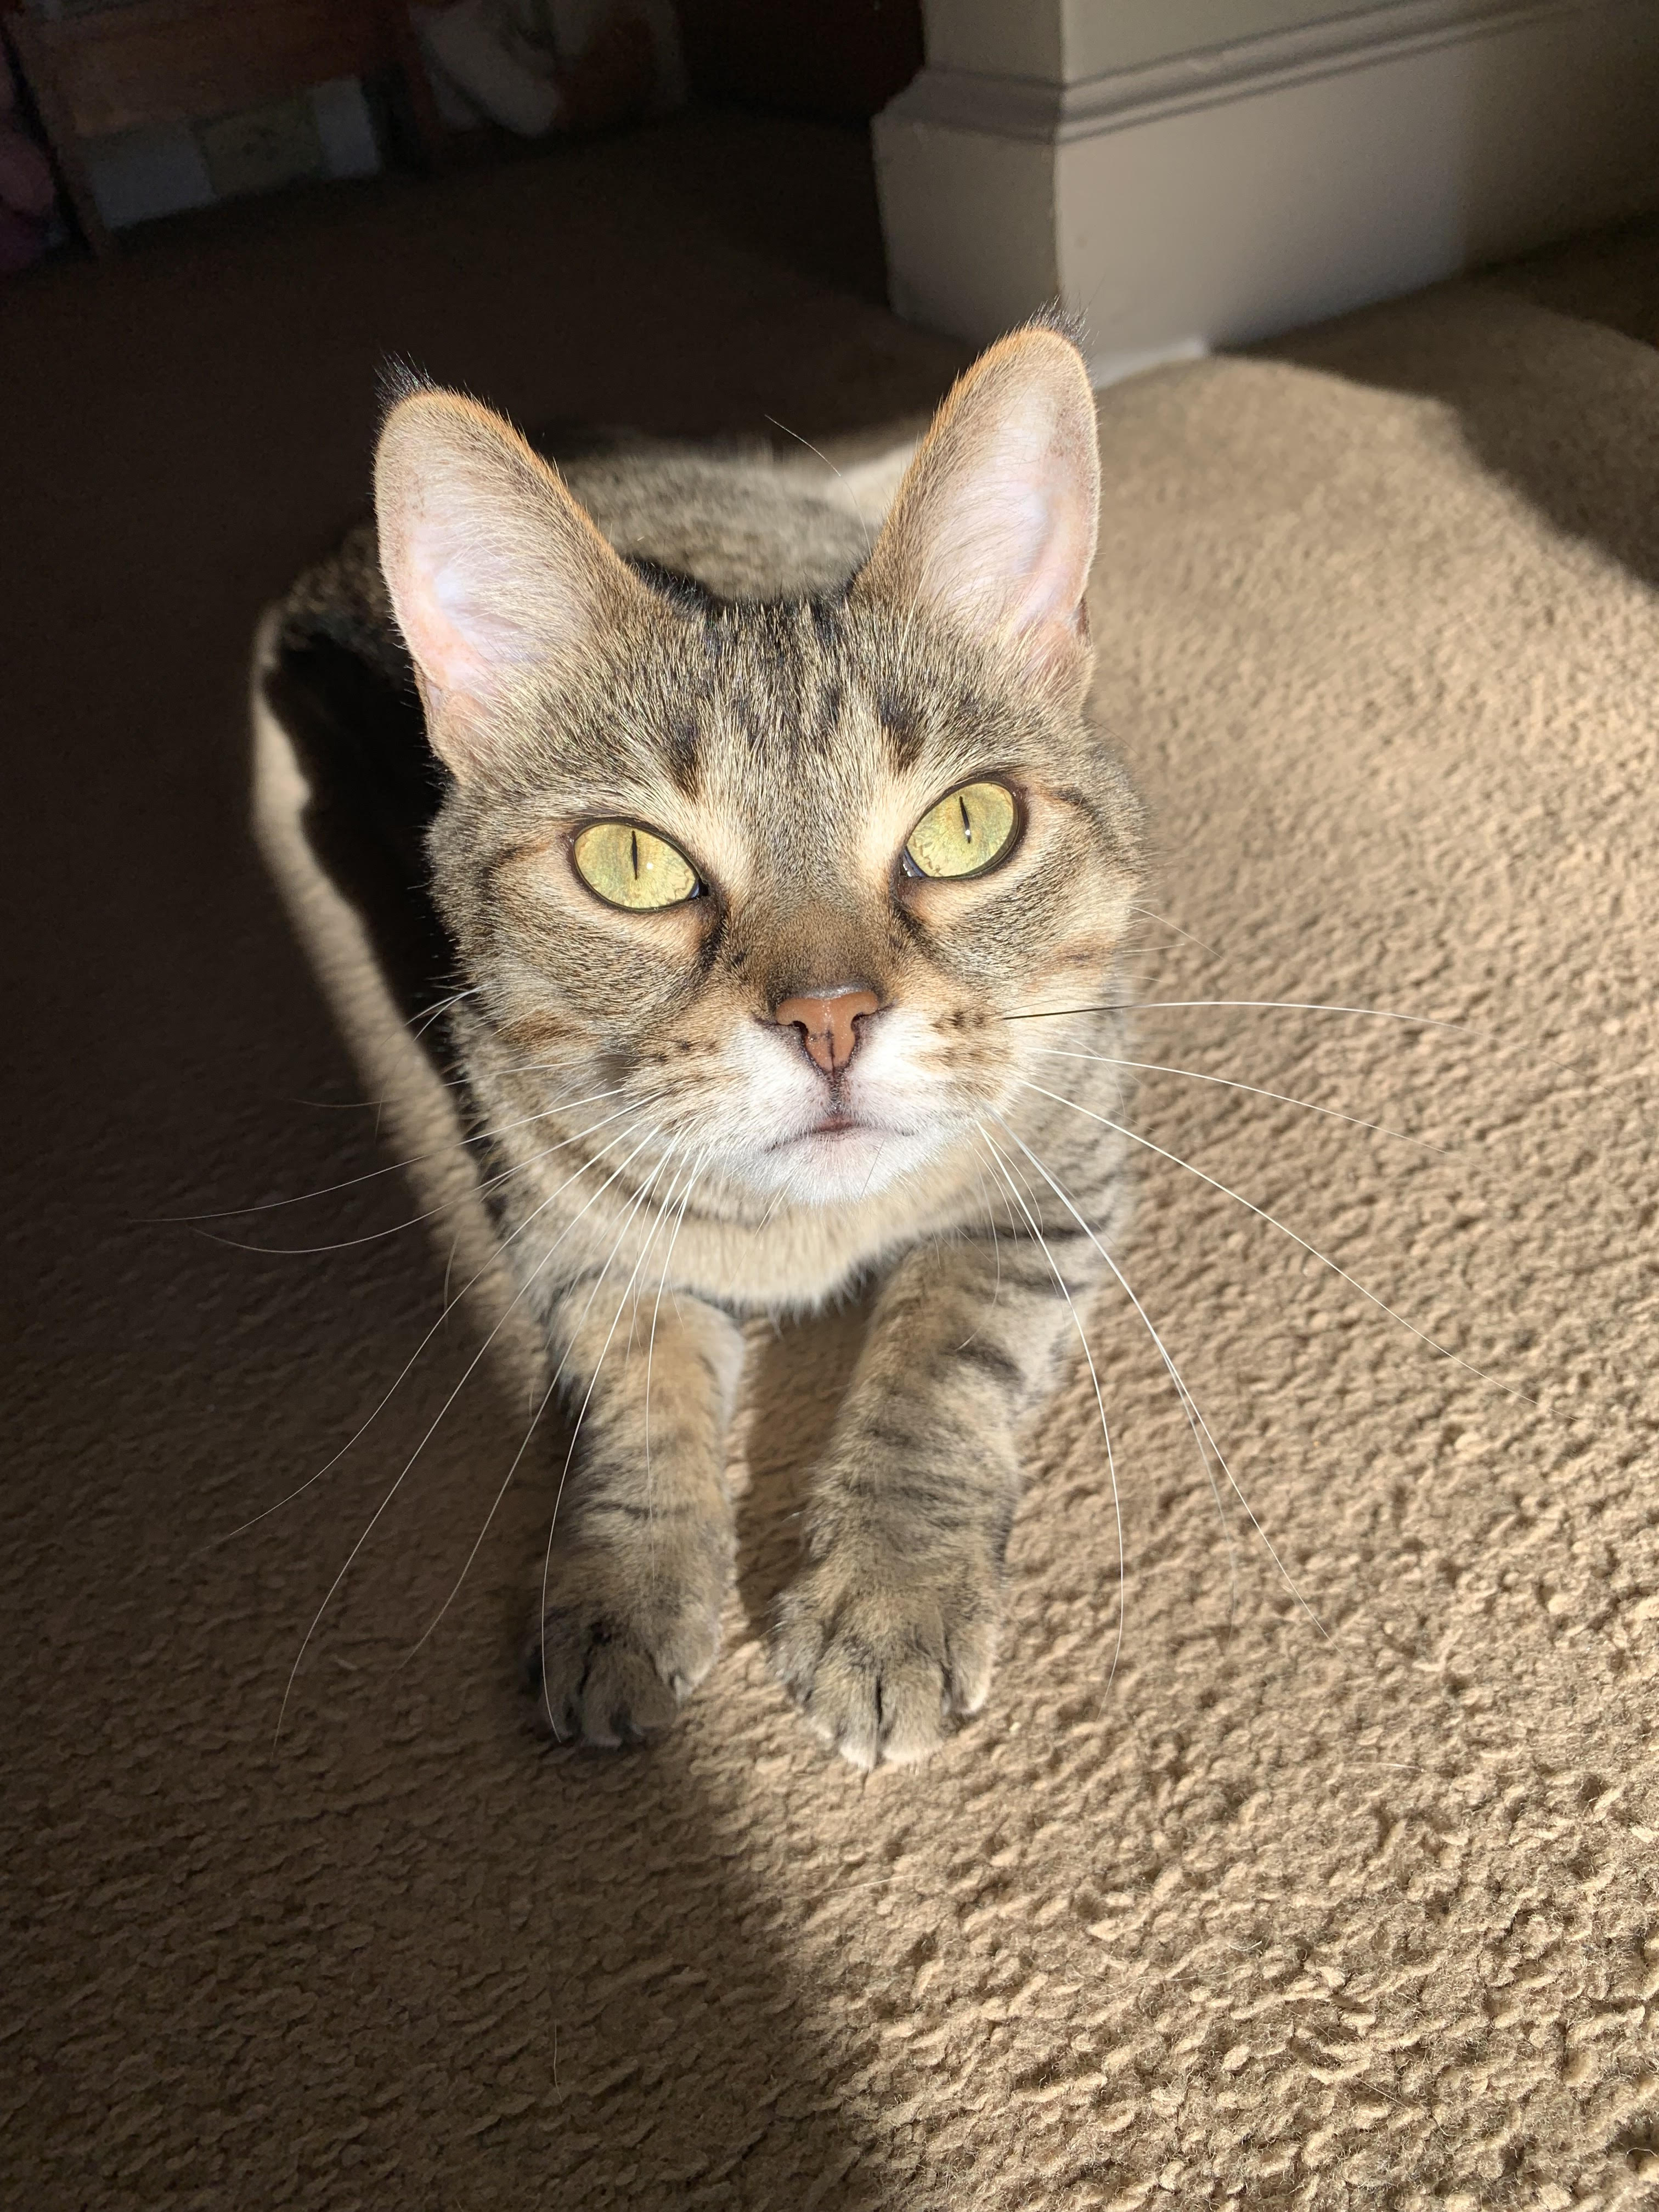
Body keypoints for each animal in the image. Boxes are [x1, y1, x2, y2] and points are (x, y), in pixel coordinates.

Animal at [283, 323, 1141, 1760]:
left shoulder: (1066, 1172)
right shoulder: (573, 1242)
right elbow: (640, 1405)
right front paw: (624, 1592)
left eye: (968, 828)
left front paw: (888, 1594)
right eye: (629, 864)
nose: (831, 1020)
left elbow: (945, 1358)